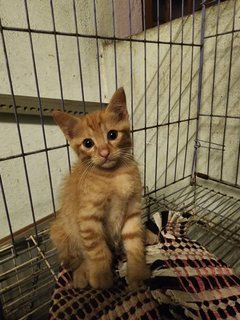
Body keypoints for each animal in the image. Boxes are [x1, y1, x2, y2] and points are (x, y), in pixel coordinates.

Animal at [50, 88, 149, 290]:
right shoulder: (88, 217)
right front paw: (101, 277)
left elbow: (134, 241)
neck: (114, 174)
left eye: (112, 135)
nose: (104, 153)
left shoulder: (132, 209)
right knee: (78, 257)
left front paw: (137, 272)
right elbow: (97, 250)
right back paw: (81, 275)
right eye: (88, 143)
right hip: (60, 231)